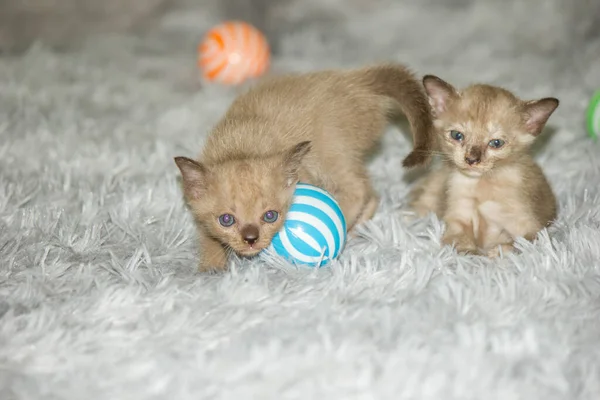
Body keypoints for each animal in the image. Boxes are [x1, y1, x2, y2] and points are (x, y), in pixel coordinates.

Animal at [176, 64, 434, 274]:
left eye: (270, 216)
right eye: (226, 220)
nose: (250, 239)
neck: (242, 147)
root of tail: (356, 80)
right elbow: (207, 237)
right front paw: (211, 267)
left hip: (331, 153)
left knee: (359, 189)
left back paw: (347, 228)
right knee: (372, 192)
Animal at [410, 74, 560, 258]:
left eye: (496, 143)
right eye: (457, 135)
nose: (471, 160)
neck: (481, 184)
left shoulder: (532, 229)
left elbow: (517, 245)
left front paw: (496, 253)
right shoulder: (458, 219)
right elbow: (461, 245)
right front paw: (471, 256)